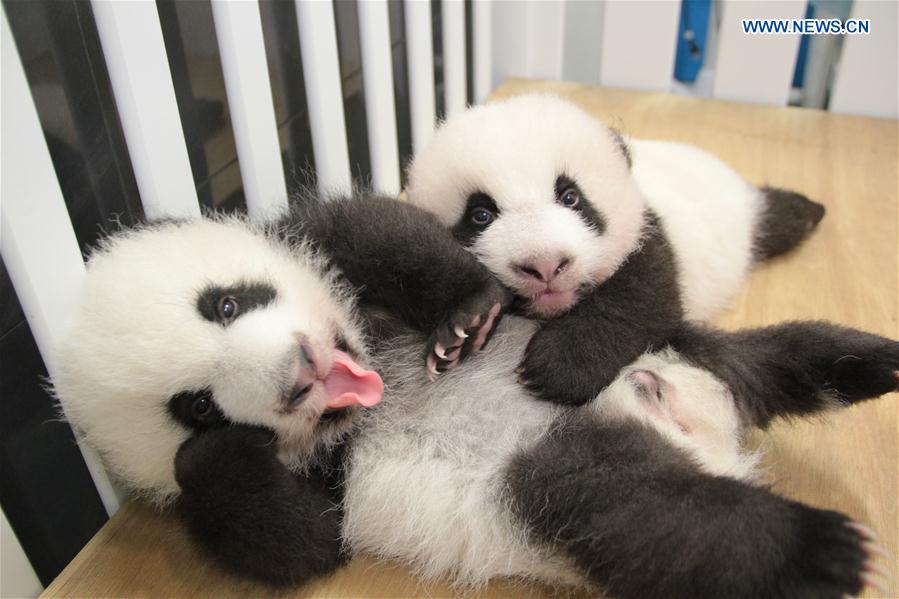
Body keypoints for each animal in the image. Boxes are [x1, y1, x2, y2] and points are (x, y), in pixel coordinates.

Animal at [53, 194, 896, 598]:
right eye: (196, 405)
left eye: (226, 303)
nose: (299, 374)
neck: (377, 377)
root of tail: (705, 436)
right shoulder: (326, 475)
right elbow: (303, 541)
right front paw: (209, 455)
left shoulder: (322, 249)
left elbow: (379, 230)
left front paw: (463, 312)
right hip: (553, 474)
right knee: (648, 509)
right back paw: (819, 543)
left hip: (683, 348)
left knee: (772, 355)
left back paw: (871, 363)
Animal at [405, 93, 827, 406]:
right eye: (480, 214)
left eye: (571, 197)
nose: (546, 266)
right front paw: (462, 333)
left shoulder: (647, 232)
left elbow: (644, 300)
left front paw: (556, 367)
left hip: (740, 221)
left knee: (774, 219)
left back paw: (807, 211)